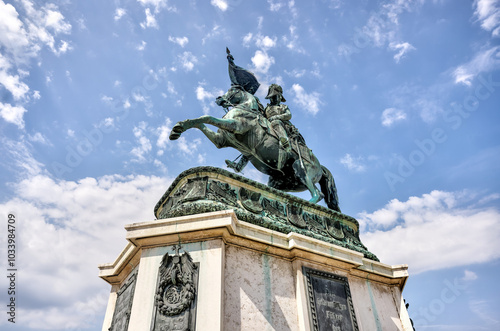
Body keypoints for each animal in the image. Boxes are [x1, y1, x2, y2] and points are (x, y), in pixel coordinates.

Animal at [169, 85, 340, 213]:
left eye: (234, 90)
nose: (218, 99)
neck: (246, 109)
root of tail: (321, 167)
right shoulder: (220, 140)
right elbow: (201, 121)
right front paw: (179, 128)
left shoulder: (236, 126)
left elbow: (207, 117)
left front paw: (179, 127)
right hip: (281, 182)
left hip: (301, 170)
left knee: (317, 194)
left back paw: (300, 207)